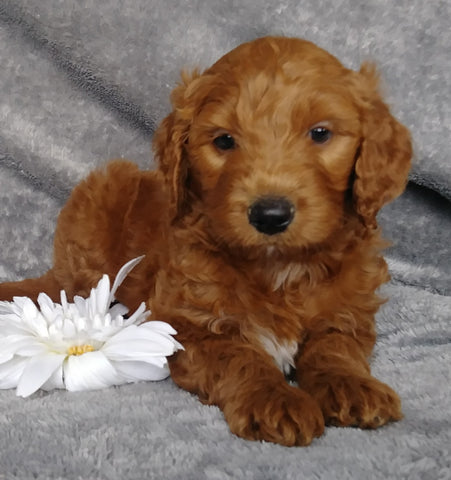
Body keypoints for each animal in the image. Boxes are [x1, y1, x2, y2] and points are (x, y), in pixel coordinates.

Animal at [0, 37, 412, 446]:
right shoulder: (186, 327)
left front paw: (352, 385)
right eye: (224, 141)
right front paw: (273, 398)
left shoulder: (350, 315)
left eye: (321, 133)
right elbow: (238, 355)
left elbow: (335, 347)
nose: (270, 215)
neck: (277, 267)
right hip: (101, 196)